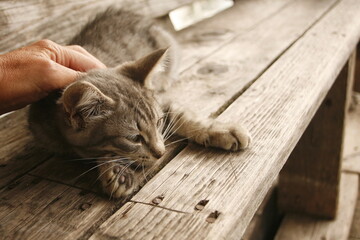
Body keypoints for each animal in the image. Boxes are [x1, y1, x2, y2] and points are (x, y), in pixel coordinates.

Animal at [27, 8, 250, 198]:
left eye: (159, 122)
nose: (161, 153)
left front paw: (221, 130)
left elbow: (183, 115)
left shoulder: (162, 101)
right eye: (134, 137)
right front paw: (115, 170)